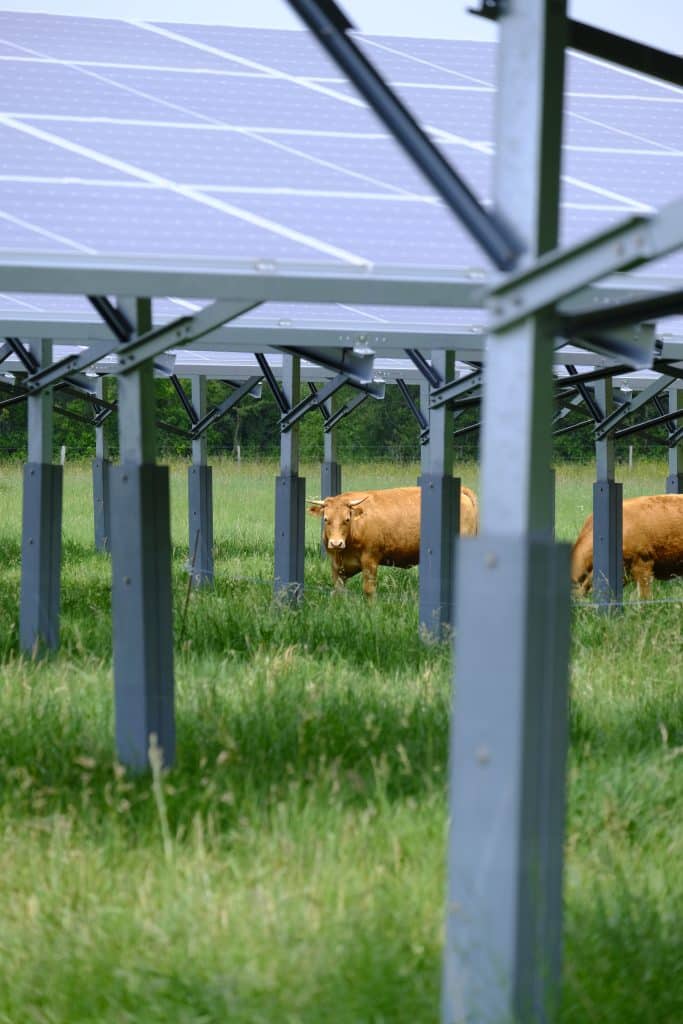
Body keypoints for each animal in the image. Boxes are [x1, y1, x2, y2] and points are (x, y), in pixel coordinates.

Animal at [308, 484, 479, 597]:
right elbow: (339, 591)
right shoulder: (336, 566)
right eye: (326, 519)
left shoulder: (370, 560)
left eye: (347, 519)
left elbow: (369, 590)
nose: (336, 543)